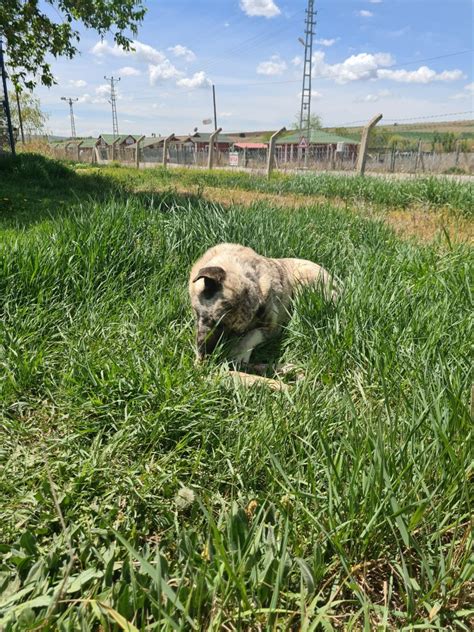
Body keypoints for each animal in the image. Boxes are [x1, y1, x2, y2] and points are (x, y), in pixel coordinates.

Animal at [189, 243, 340, 366]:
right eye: (213, 322)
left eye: (237, 333)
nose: (208, 357)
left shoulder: (270, 327)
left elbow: (252, 335)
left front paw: (239, 353)